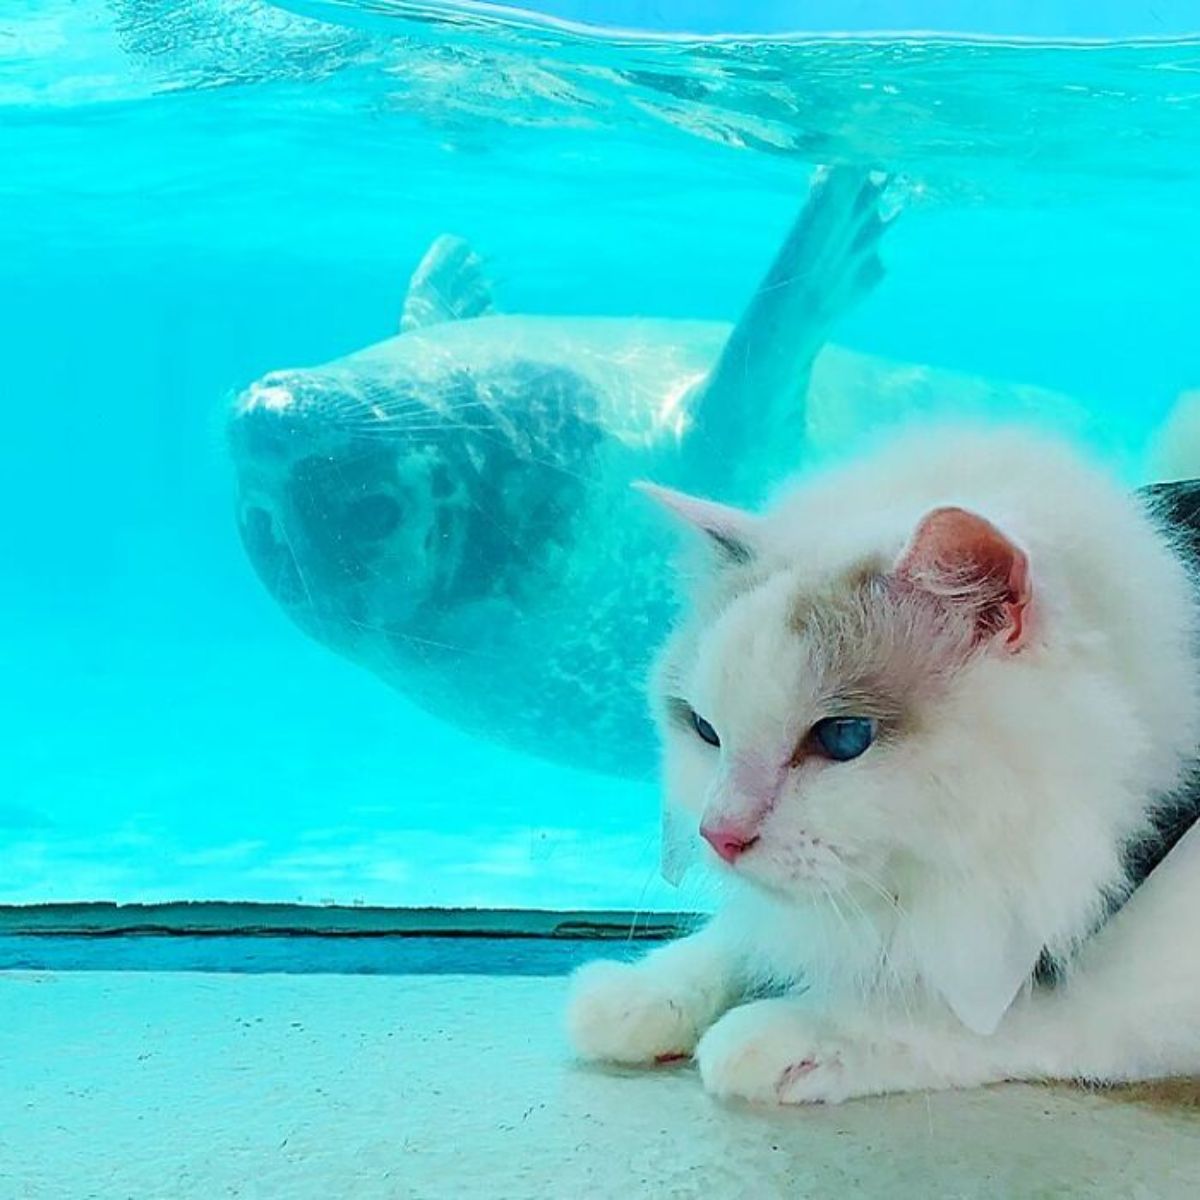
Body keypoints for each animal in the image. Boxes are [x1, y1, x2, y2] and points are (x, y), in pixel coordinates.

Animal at [566, 427, 1200, 1099]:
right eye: (706, 732)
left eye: (844, 737)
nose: (720, 836)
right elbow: (752, 936)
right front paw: (642, 993)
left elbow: (964, 1014)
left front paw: (786, 1030)